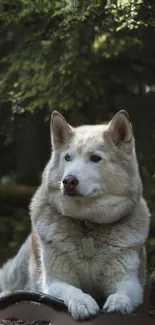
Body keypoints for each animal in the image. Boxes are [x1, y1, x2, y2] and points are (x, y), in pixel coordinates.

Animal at [0, 110, 150, 318]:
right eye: (68, 158)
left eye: (95, 158)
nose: (68, 181)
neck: (87, 223)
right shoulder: (55, 282)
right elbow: (73, 290)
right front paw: (83, 303)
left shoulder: (130, 281)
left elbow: (123, 292)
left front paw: (119, 302)